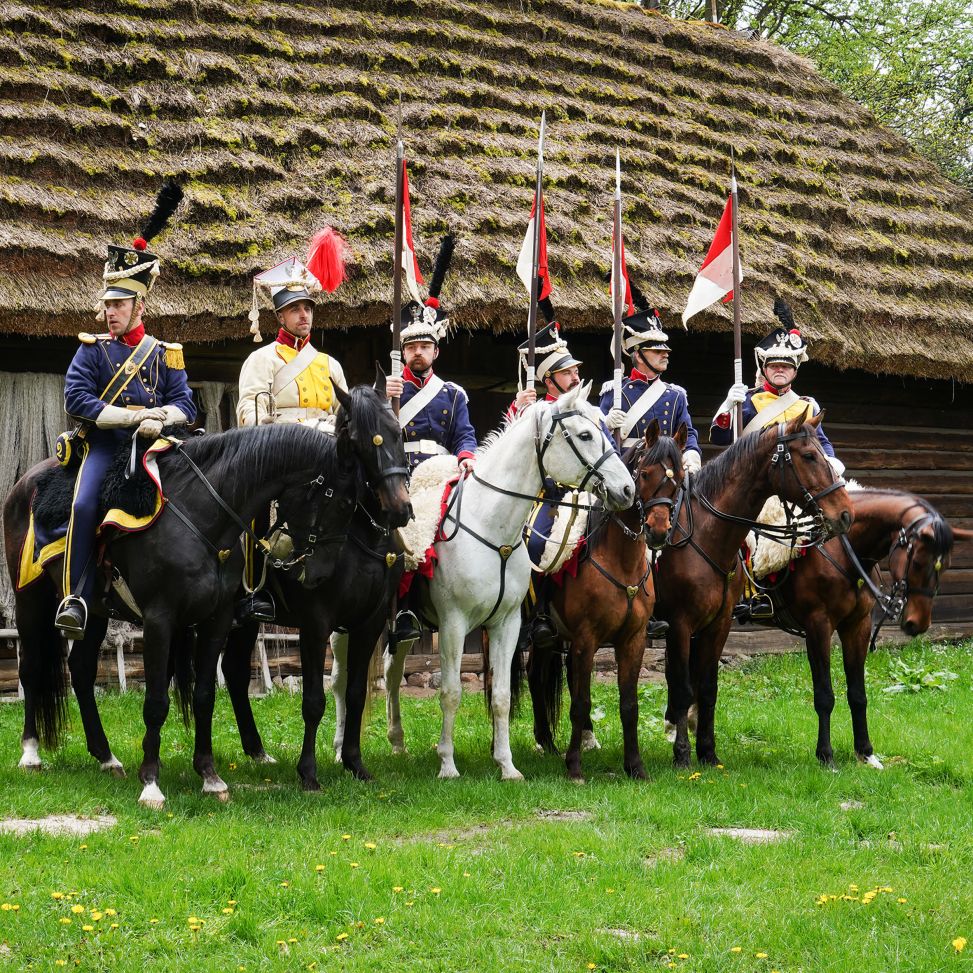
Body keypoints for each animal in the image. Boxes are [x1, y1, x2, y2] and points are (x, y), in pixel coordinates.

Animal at [3, 384, 408, 808]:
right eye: (339, 499)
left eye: (398, 434)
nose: (400, 509)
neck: (203, 510)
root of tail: (26, 480)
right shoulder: (171, 619)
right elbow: (159, 701)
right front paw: (152, 783)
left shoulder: (233, 618)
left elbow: (207, 695)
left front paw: (212, 776)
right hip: (30, 599)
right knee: (32, 668)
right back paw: (31, 753)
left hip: (99, 609)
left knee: (84, 669)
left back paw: (109, 756)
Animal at [376, 382, 636, 784]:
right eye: (585, 435)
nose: (627, 489)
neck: (492, 528)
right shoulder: (454, 624)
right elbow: (451, 692)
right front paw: (447, 764)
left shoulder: (507, 623)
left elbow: (501, 695)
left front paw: (507, 765)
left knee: (392, 668)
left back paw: (398, 741)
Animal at [528, 420, 688, 784]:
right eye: (645, 473)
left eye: (680, 477)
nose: (658, 531)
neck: (620, 560)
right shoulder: (586, 640)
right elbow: (581, 702)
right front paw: (574, 766)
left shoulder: (633, 640)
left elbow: (629, 705)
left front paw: (635, 765)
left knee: (535, 675)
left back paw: (549, 742)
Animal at [652, 406, 852, 772]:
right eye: (808, 455)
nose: (845, 514)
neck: (705, 533)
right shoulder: (679, 623)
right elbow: (684, 686)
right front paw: (683, 754)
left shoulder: (717, 624)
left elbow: (707, 687)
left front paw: (708, 752)